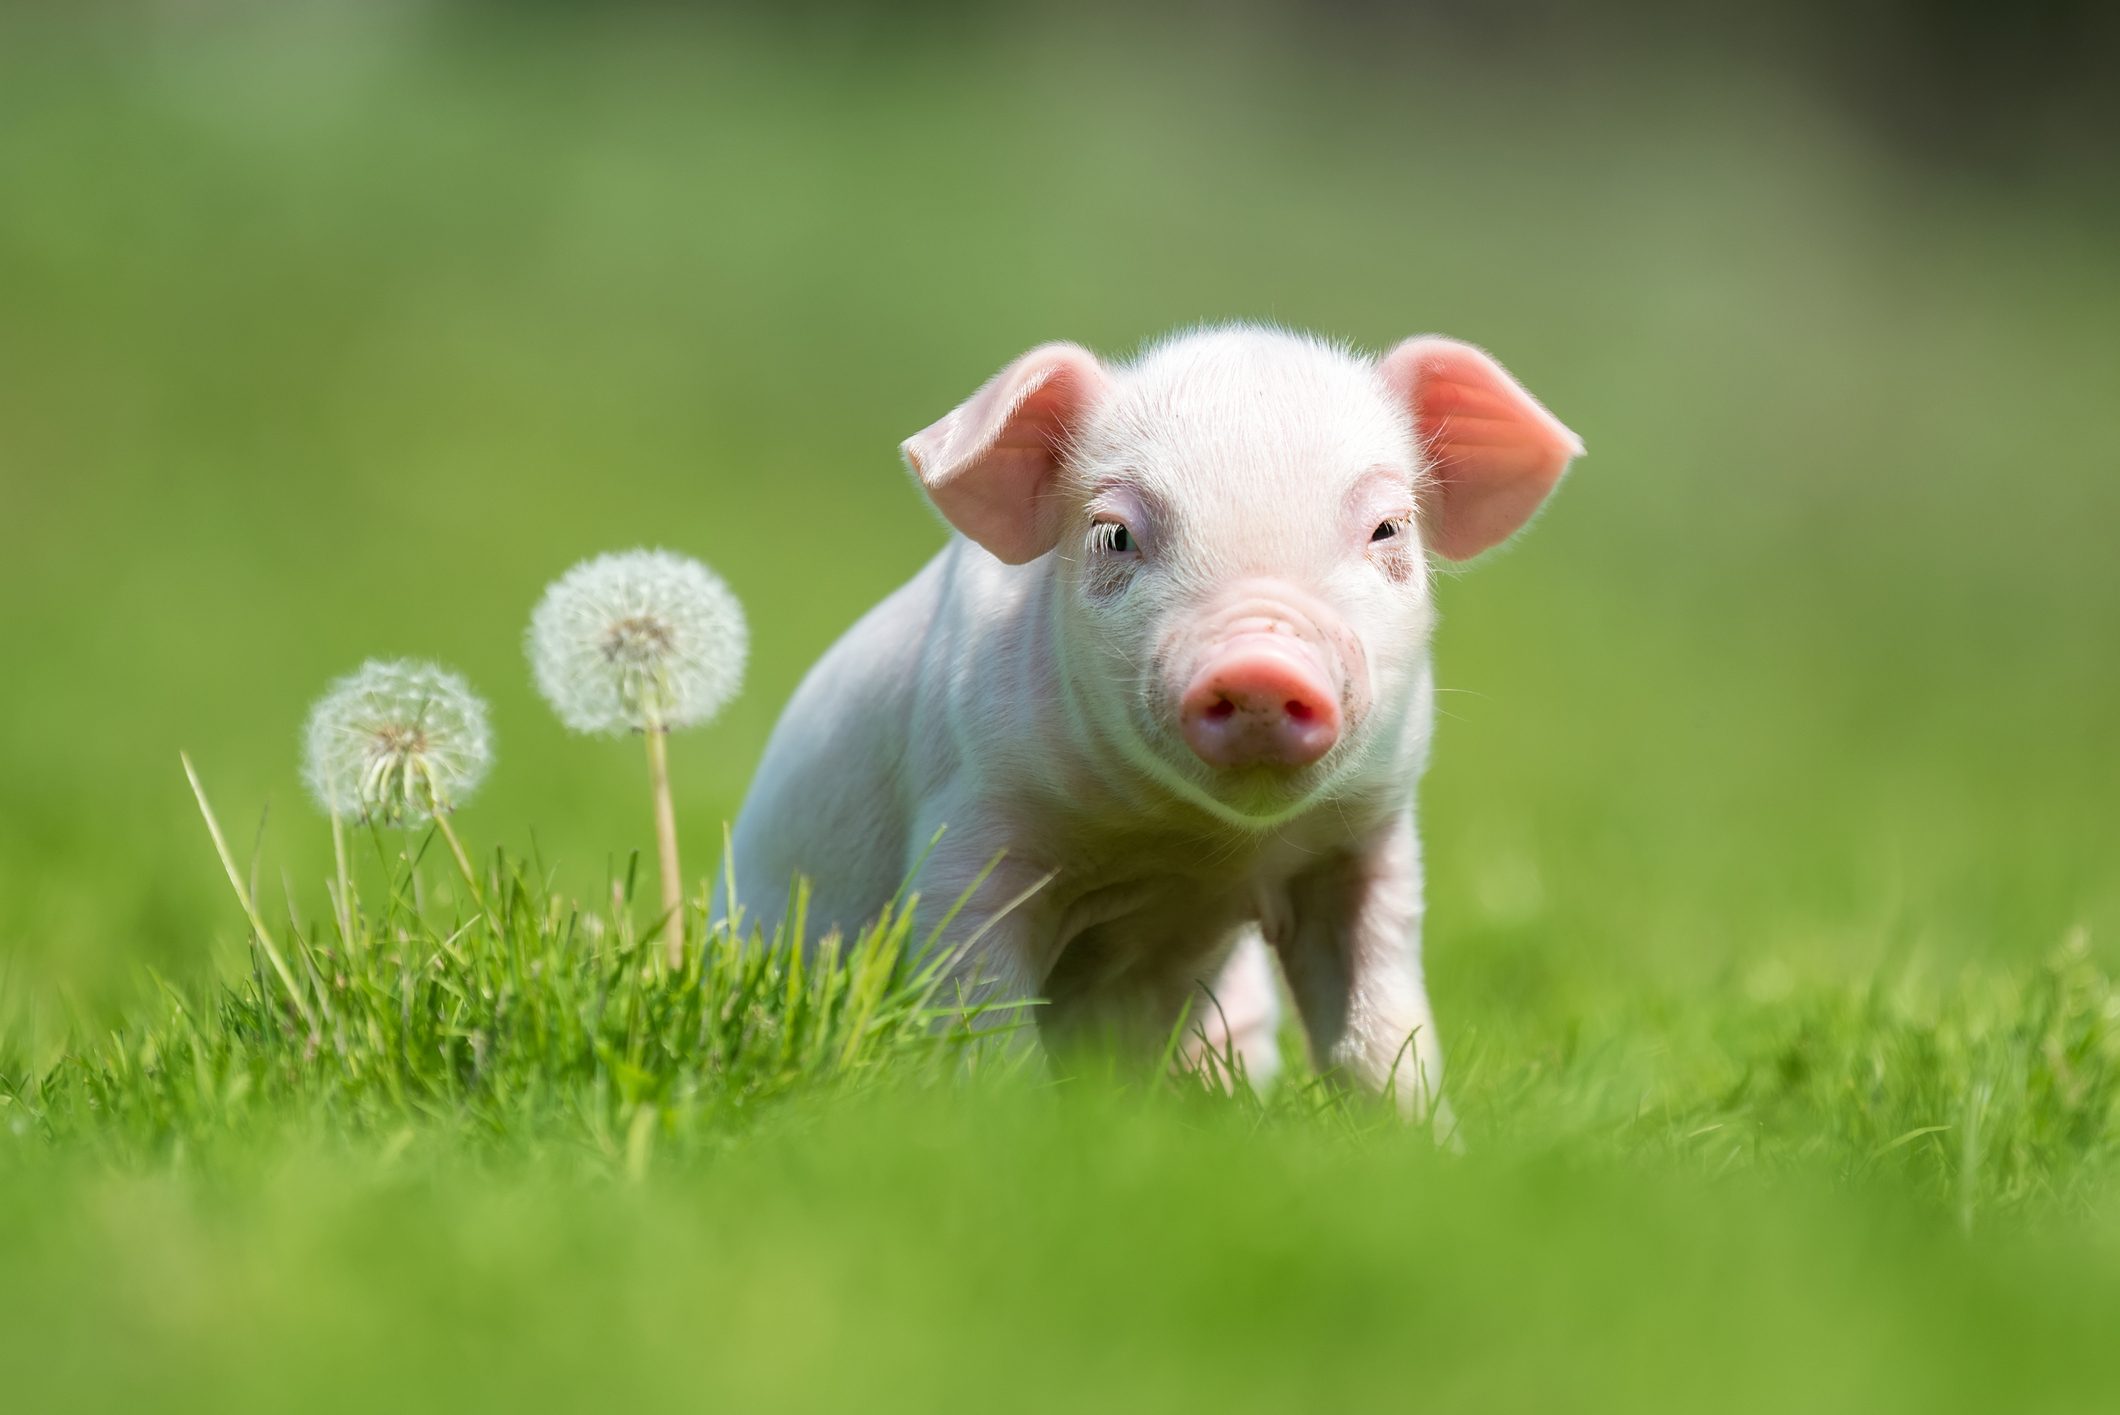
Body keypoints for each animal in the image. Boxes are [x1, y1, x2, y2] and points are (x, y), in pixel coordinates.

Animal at [726, 325, 1580, 1119]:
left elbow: (1380, 1027)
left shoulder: (1365, 839)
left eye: (1388, 530)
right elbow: (981, 997)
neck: (1195, 848)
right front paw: (1011, 1124)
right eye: (1115, 534)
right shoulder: (970, 813)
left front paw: (1424, 1144)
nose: (1262, 664)